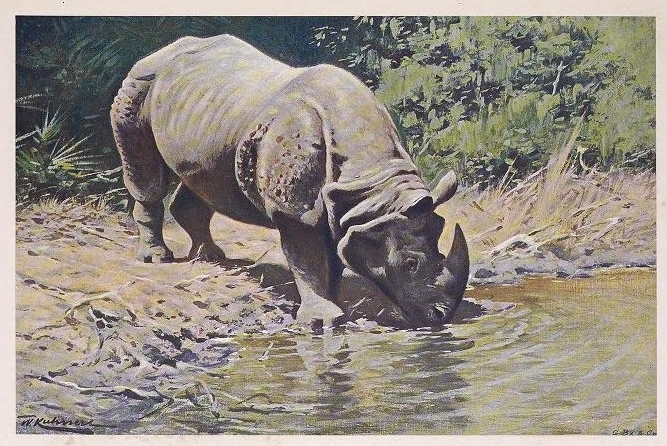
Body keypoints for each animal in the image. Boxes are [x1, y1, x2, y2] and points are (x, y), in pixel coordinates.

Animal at [110, 35, 469, 328]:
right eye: (410, 264)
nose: (440, 316)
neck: (374, 187)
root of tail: (161, 53)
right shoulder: (296, 209)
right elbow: (306, 256)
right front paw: (322, 320)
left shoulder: (344, 209)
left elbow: (332, 257)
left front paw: (335, 305)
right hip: (139, 85)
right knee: (146, 173)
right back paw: (157, 258)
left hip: (207, 115)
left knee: (204, 178)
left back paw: (210, 257)